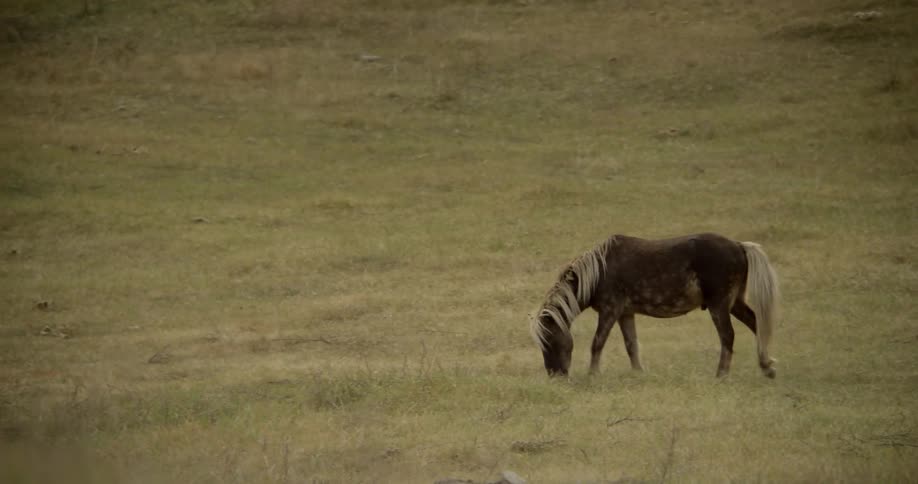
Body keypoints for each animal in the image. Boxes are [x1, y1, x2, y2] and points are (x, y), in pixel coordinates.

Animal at [529, 233, 780, 378]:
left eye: (549, 340)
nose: (555, 375)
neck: (599, 271)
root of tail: (739, 246)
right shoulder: (625, 314)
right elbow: (631, 345)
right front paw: (639, 373)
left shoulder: (610, 311)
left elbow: (597, 343)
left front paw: (593, 375)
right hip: (734, 303)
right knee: (755, 323)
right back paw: (766, 366)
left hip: (719, 305)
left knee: (728, 336)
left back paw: (721, 375)